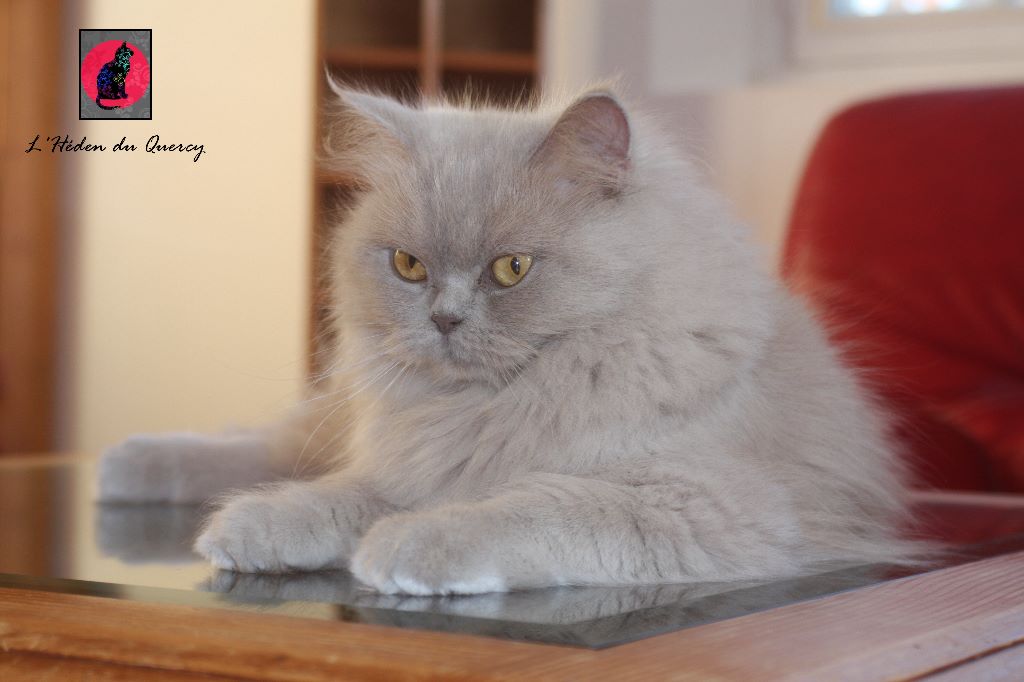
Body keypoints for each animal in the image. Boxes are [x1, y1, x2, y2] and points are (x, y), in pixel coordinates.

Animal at [99, 84, 917, 593]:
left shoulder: (703, 503)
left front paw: (404, 548)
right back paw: (131, 466)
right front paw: (255, 527)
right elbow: (342, 493)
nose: (445, 319)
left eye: (511, 269)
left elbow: (529, 508)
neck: (492, 406)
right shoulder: (412, 462)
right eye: (409, 265)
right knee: (271, 447)